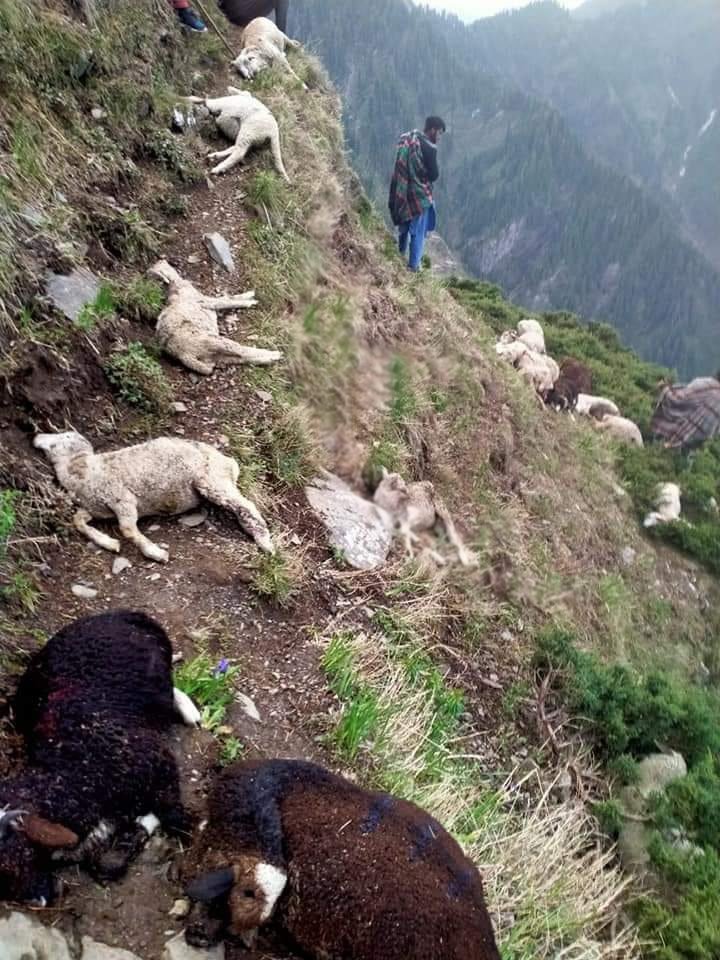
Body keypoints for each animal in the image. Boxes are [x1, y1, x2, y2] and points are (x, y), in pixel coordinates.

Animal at [0, 611, 197, 906]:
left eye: (9, 850)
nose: (40, 899)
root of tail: (119, 614)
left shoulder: (162, 766)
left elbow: (174, 817)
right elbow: (106, 864)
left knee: (173, 687)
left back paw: (190, 710)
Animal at [33, 431, 274, 562]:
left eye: (63, 436)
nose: (36, 436)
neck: (81, 470)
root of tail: (227, 460)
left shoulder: (122, 500)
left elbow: (127, 529)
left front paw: (154, 552)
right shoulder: (94, 509)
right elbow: (78, 522)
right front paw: (108, 542)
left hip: (211, 480)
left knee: (247, 506)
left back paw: (265, 542)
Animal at [148, 260, 281, 376]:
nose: (162, 260)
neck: (174, 285)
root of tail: (183, 354)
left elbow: (228, 298)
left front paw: (249, 296)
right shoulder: (207, 301)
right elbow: (227, 301)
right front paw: (250, 300)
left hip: (214, 355)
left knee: (241, 358)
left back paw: (269, 360)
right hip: (215, 342)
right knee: (243, 351)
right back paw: (274, 355)